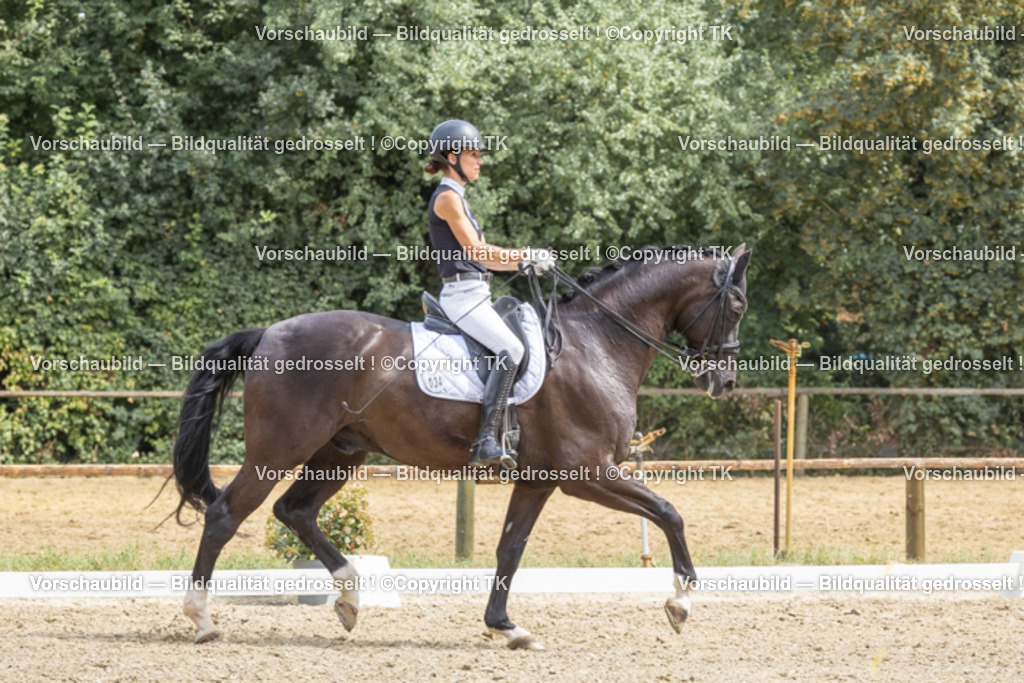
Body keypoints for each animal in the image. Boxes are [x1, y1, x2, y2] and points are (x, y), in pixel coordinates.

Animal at [172, 243, 751, 649]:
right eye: (738, 304)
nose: (724, 383)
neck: (598, 344)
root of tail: (269, 333)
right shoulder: (588, 472)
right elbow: (669, 512)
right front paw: (680, 603)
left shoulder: (540, 480)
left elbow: (510, 548)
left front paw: (505, 627)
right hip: (278, 452)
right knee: (226, 515)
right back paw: (202, 619)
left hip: (340, 452)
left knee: (295, 512)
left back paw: (351, 596)